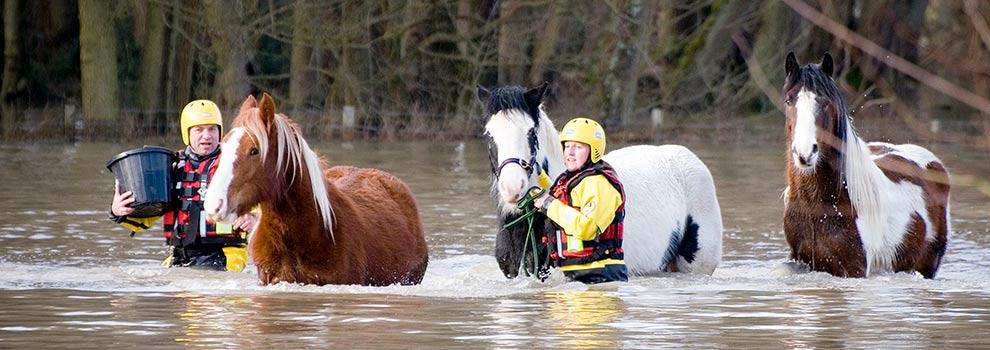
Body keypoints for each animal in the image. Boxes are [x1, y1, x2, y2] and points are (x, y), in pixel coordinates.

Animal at [784, 52, 952, 278]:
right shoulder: (798, 261)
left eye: (825, 102)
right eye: (789, 100)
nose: (805, 153)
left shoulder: (854, 269)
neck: (819, 208)